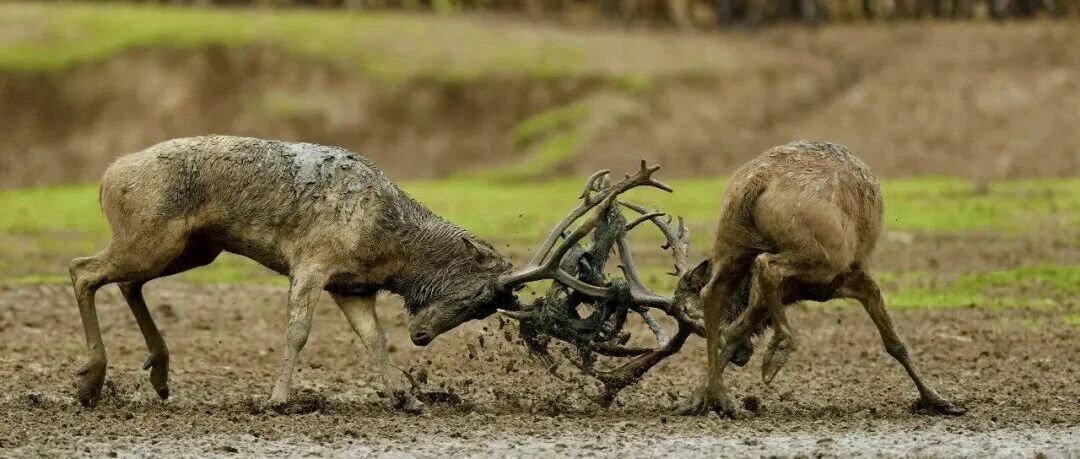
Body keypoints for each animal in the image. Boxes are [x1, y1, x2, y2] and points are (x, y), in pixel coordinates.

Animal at [69, 135, 667, 411]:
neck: (384, 249)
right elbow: (297, 331)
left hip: (192, 249)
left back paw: (158, 373)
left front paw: (407, 398)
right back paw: (90, 379)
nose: (422, 335)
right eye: (475, 296)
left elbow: (374, 340)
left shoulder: (351, 286)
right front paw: (278, 398)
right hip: (156, 236)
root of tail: (104, 179)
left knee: (124, 280)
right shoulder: (311, 260)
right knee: (83, 269)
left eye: (483, 310)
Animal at [670, 140, 965, 417]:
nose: (743, 358)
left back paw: (722, 391)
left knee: (713, 290)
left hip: (731, 240)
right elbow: (895, 342)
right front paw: (938, 400)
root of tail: (757, 183)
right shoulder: (852, 277)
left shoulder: (784, 293)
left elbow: (735, 329)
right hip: (822, 256)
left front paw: (701, 398)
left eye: (695, 327)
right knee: (767, 264)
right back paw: (780, 348)